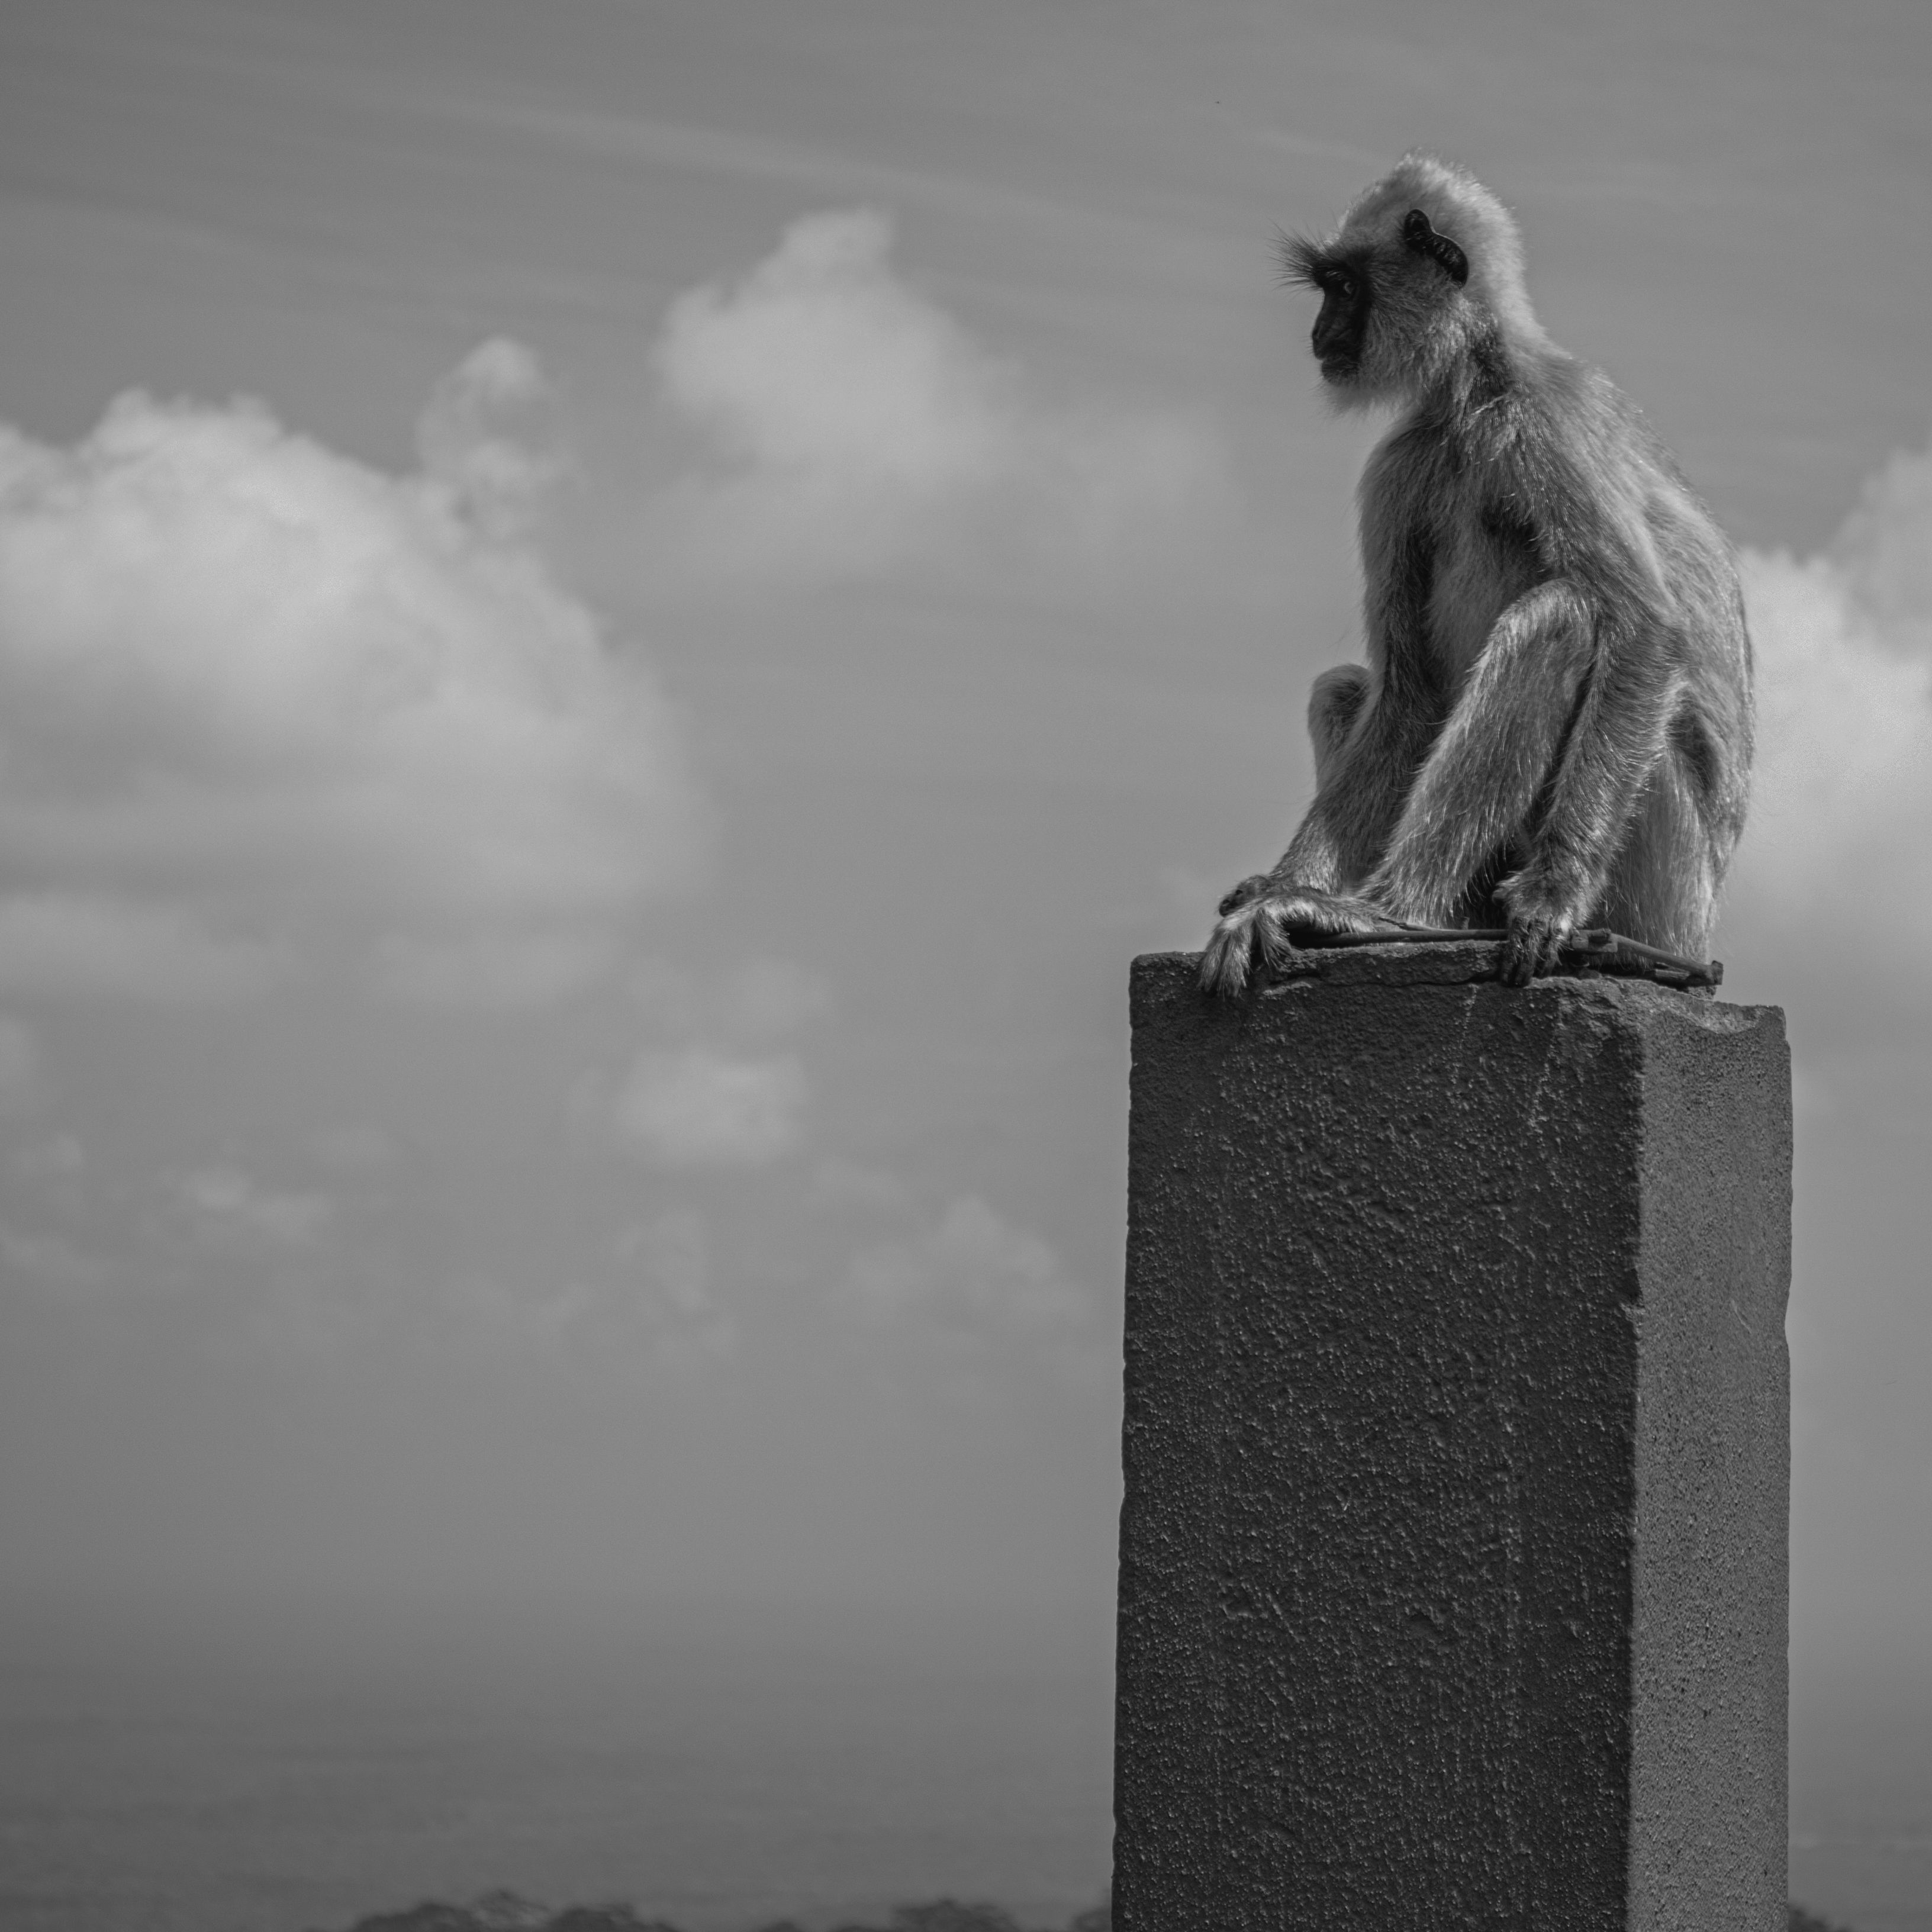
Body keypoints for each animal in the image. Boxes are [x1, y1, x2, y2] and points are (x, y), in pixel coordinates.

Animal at [1200, 154, 1752, 996]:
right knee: (1348, 687)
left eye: (1344, 288)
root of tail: (1700, 930)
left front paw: (1548, 896)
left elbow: (1647, 630)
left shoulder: (1550, 414)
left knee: (1565, 615)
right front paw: (1281, 886)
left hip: (1661, 872)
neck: (1476, 393)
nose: (1321, 334)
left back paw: (1396, 913)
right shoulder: (1402, 464)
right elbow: (1409, 691)